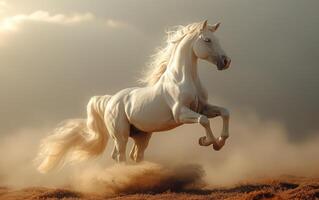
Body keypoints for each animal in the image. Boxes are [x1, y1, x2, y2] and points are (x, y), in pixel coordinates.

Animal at [36, 20, 232, 173]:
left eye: (218, 39)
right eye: (207, 40)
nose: (226, 61)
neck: (182, 79)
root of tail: (110, 100)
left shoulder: (203, 107)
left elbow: (224, 112)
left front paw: (220, 142)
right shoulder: (181, 113)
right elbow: (204, 121)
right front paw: (207, 141)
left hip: (142, 135)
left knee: (134, 155)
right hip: (120, 135)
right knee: (120, 156)